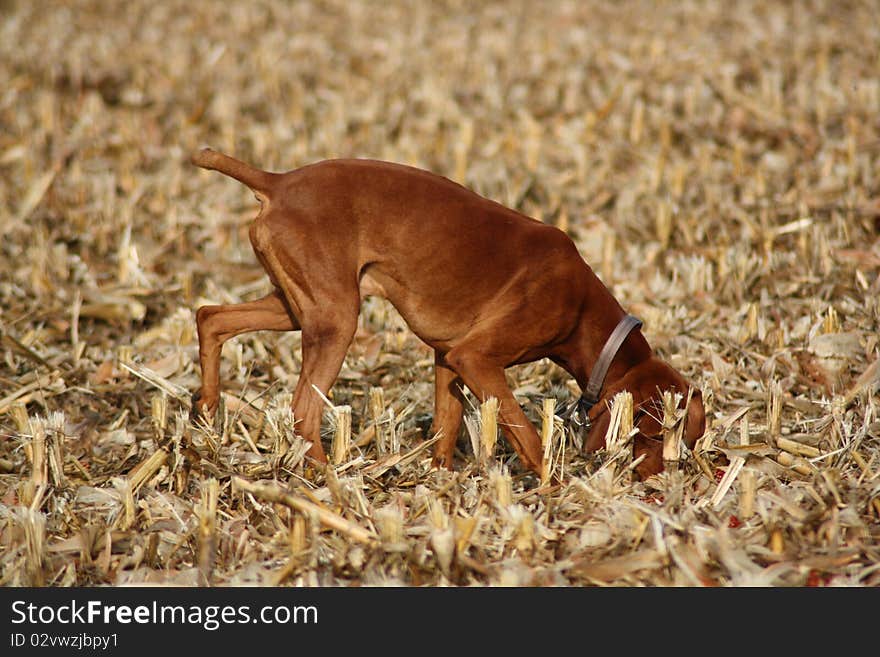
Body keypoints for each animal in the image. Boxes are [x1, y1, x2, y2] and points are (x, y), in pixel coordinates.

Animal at [189, 149, 704, 476]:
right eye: (655, 434)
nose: (658, 484)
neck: (584, 313)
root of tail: (278, 181)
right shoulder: (476, 358)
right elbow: (525, 433)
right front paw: (551, 488)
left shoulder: (448, 359)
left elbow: (446, 427)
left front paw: (441, 484)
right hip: (335, 320)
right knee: (302, 410)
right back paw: (328, 479)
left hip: (299, 307)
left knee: (210, 316)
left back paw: (207, 413)